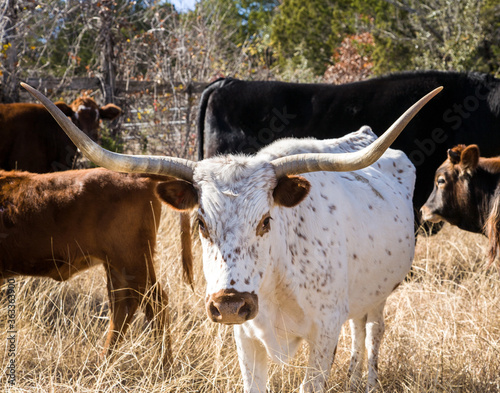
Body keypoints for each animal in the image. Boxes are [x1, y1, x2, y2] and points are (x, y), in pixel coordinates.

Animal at [0, 168, 190, 364]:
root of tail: (137, 174)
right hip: (117, 265)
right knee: (122, 305)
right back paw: (104, 361)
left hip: (133, 260)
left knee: (155, 302)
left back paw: (164, 365)